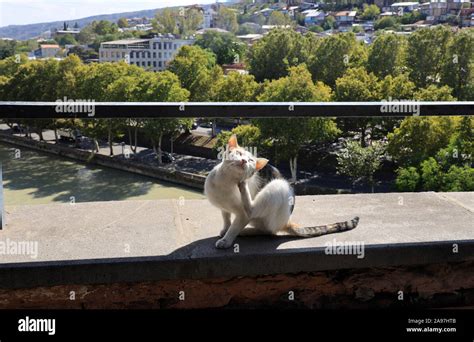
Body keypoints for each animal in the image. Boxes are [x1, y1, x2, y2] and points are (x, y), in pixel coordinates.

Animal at [204, 134, 360, 248]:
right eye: (238, 153)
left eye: (251, 161)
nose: (244, 161)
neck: (226, 181)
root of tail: (286, 221)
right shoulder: (224, 208)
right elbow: (226, 218)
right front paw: (225, 229)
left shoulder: (242, 216)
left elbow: (234, 227)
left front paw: (226, 239)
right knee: (265, 230)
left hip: (278, 186)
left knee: (261, 221)